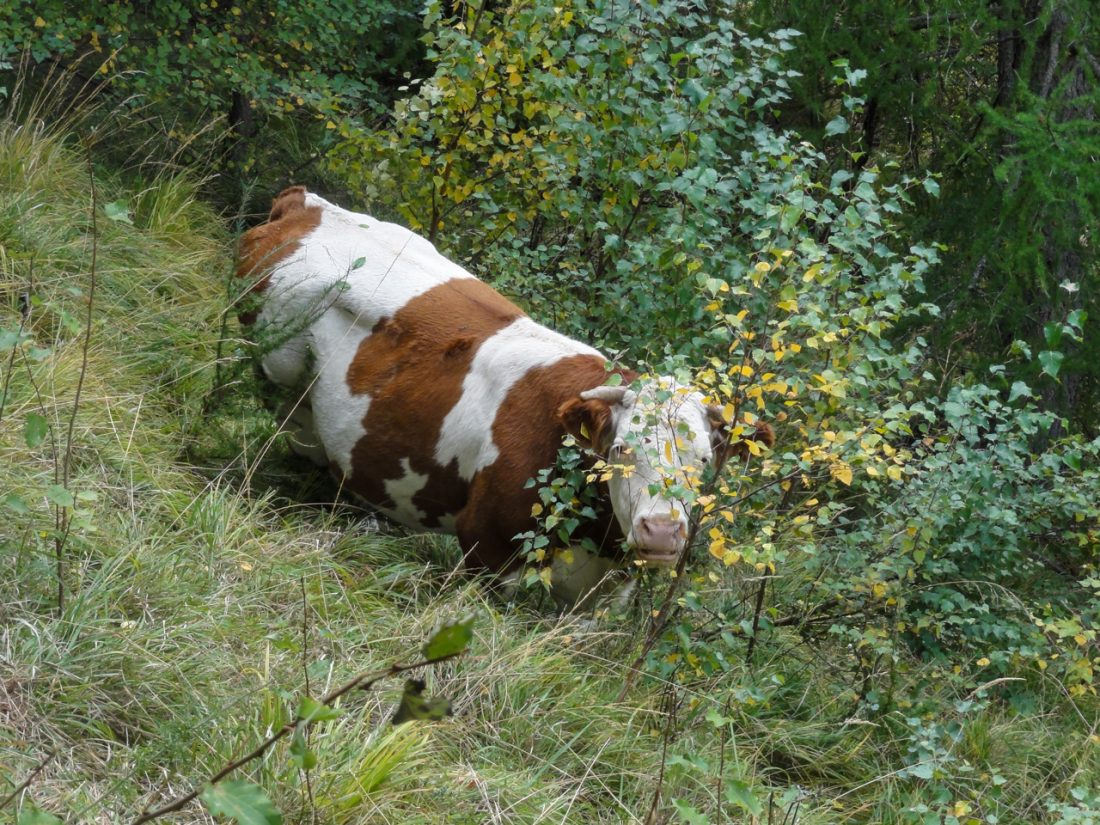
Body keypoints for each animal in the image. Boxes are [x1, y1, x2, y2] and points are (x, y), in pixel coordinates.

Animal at [238, 185, 774, 602]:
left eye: (703, 461)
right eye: (620, 451)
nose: (662, 532)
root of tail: (307, 204)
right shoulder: (489, 546)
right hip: (273, 372)